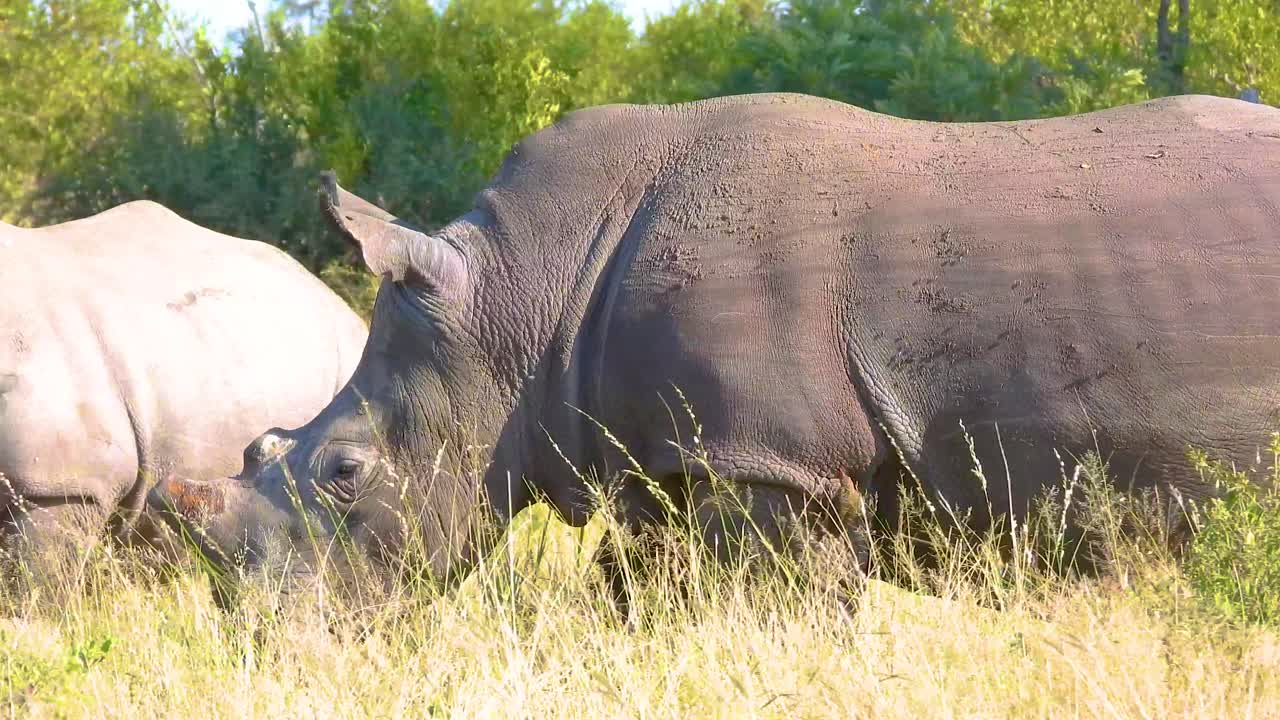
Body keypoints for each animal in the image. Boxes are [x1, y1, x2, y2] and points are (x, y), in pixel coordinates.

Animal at [152, 93, 1280, 600]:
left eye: (345, 471)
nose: (248, 622)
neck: (521, 299)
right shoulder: (659, 454)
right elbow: (640, 597)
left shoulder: (773, 461)